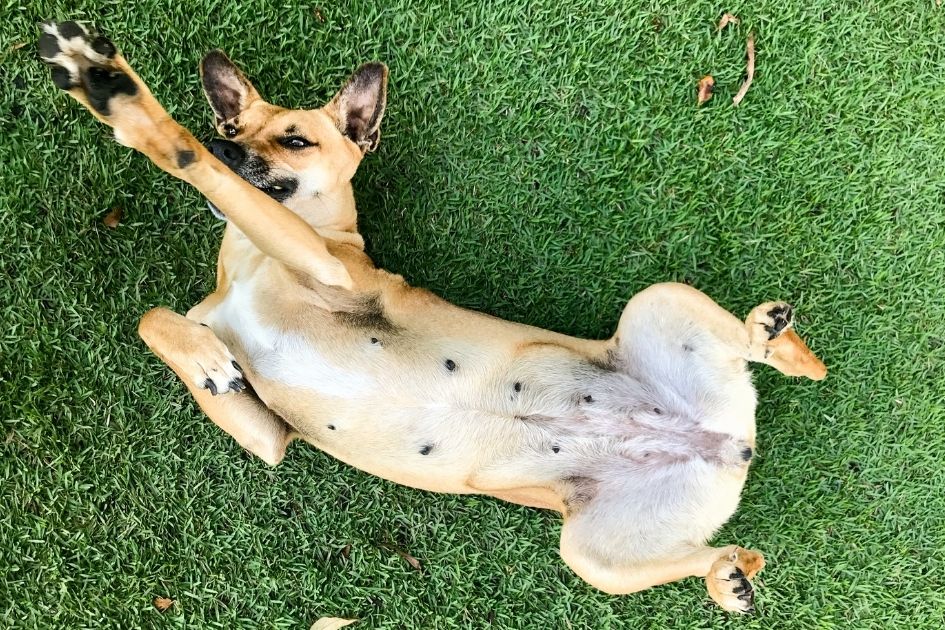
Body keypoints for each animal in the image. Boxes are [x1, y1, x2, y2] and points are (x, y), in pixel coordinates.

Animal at [40, 21, 824, 616]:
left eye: (295, 139)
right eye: (231, 123)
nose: (230, 144)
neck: (247, 266)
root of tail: (727, 443)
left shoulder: (329, 270)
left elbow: (182, 158)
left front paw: (121, 99)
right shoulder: (265, 435)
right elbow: (155, 319)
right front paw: (205, 358)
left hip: (658, 299)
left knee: (759, 350)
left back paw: (771, 335)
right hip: (592, 554)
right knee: (697, 554)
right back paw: (726, 573)